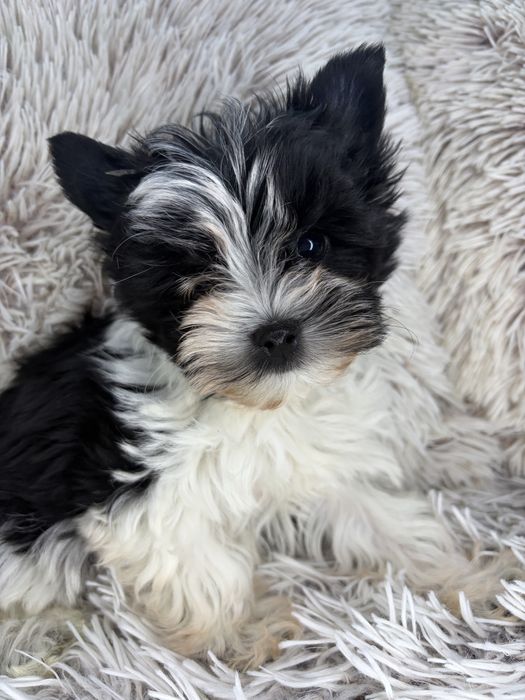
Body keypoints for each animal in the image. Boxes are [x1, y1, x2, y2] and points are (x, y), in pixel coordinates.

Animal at [0, 45, 516, 669]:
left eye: (310, 245)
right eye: (197, 275)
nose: (275, 333)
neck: (258, 406)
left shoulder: (314, 462)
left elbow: (377, 518)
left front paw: (463, 580)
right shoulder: (137, 492)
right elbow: (200, 572)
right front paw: (243, 634)